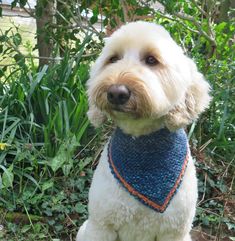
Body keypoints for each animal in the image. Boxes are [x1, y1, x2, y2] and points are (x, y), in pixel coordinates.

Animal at [76, 21, 210, 241]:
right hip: (84, 228)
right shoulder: (101, 225)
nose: (116, 93)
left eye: (151, 60)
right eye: (113, 59)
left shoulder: (174, 231)